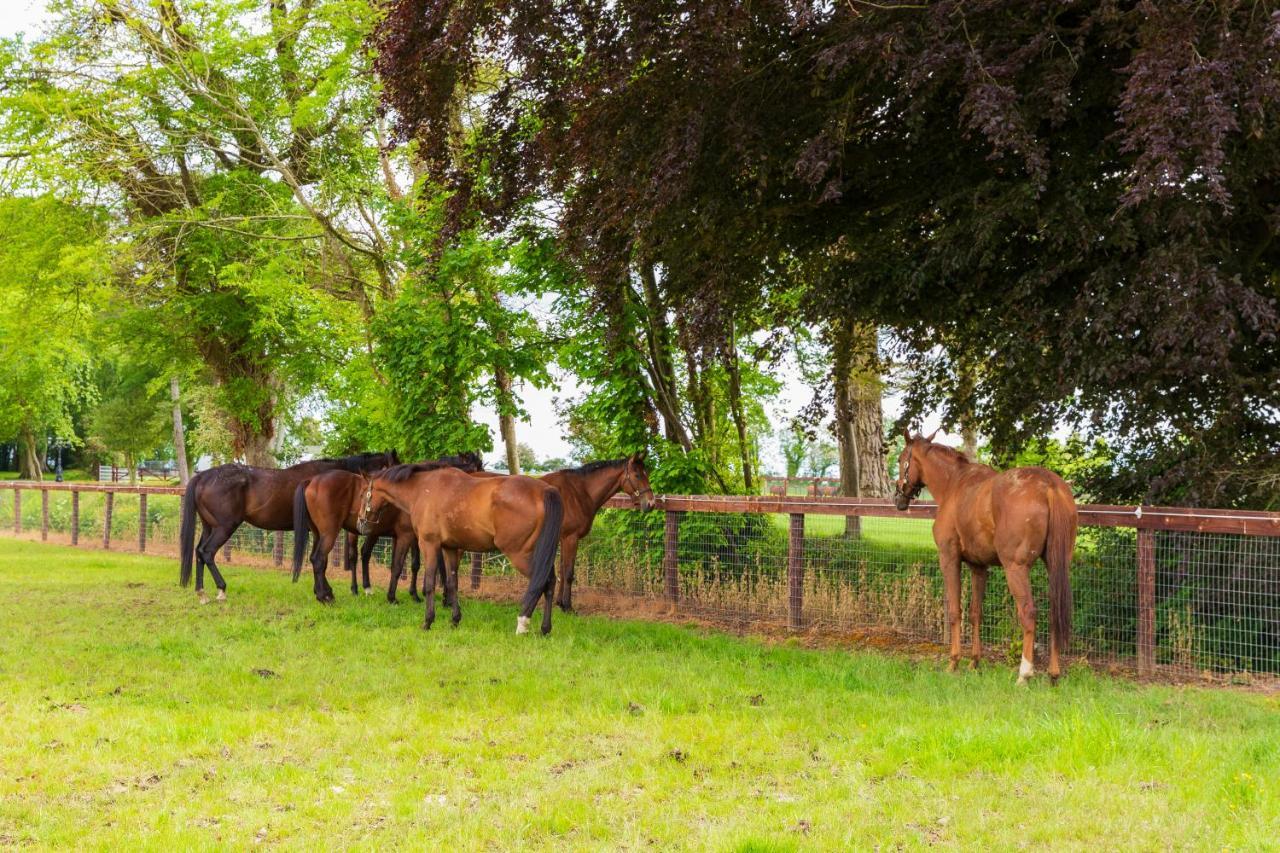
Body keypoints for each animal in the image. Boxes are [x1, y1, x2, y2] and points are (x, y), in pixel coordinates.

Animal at [175, 448, 394, 601]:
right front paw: (325, 593)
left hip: (209, 527)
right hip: (224, 528)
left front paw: (321, 591)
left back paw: (202, 592)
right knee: (207, 552)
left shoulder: (316, 532)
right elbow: (320, 561)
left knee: (199, 552)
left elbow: (318, 560)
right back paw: (221, 589)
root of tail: (203, 475)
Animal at [290, 450, 483, 596]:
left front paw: (412, 594)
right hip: (331, 532)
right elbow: (404, 565)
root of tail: (312, 480)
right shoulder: (409, 536)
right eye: (476, 468)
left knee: (326, 557)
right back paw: (327, 596)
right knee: (320, 559)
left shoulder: (406, 537)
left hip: (322, 533)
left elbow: (408, 565)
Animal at [358, 466, 563, 630]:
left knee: (542, 582)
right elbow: (451, 583)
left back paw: (523, 624)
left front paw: (428, 621)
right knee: (551, 582)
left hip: (520, 554)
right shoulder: (450, 548)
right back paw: (545, 629)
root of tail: (544, 490)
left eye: (363, 493)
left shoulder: (429, 545)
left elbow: (430, 583)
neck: (423, 490)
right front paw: (455, 620)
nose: (361, 523)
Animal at [890, 427, 1080, 681]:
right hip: (1056, 566)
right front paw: (974, 662)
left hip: (1015, 568)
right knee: (1054, 613)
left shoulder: (949, 559)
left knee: (1028, 613)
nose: (898, 497)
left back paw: (1024, 673)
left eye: (902, 459)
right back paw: (1053, 673)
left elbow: (955, 611)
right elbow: (975, 613)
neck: (954, 485)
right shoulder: (979, 567)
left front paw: (954, 662)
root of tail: (1049, 485)